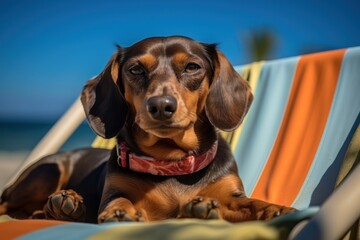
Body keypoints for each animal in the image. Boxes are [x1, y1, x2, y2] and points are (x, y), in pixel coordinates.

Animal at [0, 36, 296, 223]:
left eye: (192, 67)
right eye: (135, 69)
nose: (161, 106)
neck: (172, 164)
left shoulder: (231, 195)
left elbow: (254, 204)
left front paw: (279, 209)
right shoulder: (116, 191)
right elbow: (118, 202)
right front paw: (120, 212)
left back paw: (63, 208)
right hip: (46, 172)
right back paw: (65, 202)